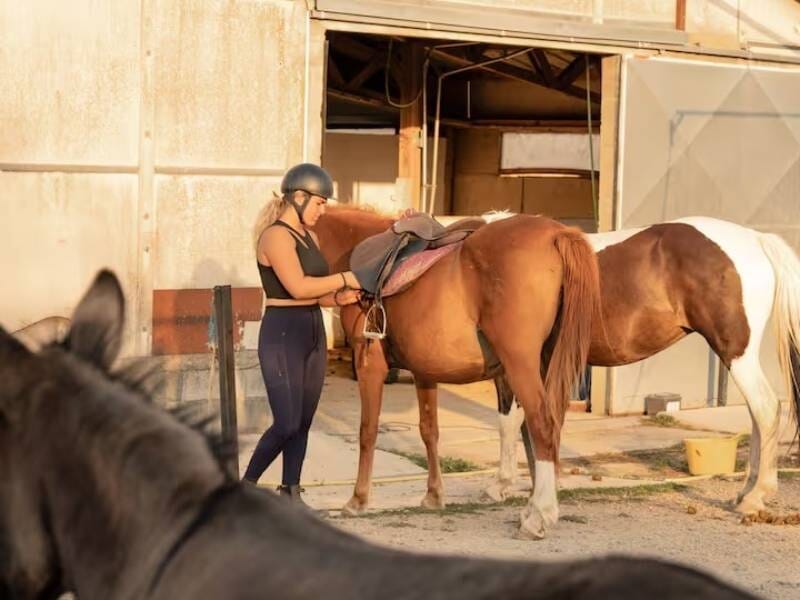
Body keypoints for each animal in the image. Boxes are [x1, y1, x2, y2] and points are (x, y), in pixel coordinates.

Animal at [313, 206, 601, 539]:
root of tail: (557, 233)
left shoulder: (369, 363)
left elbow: (367, 431)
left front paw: (357, 501)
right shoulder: (424, 370)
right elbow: (429, 430)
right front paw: (433, 495)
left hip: (521, 364)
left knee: (542, 424)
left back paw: (538, 517)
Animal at [477, 216, 800, 515]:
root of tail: (757, 239)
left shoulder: (512, 365)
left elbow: (508, 422)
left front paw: (501, 486)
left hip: (735, 353)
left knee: (766, 409)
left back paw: (755, 496)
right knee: (757, 416)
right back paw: (745, 493)